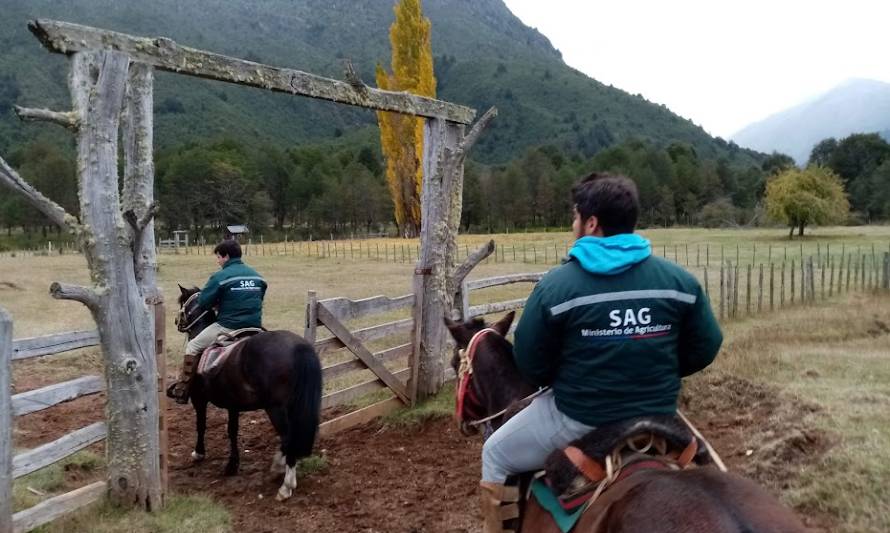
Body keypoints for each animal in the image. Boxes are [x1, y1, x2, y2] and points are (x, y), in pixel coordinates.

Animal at [172, 286, 320, 498]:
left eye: (183, 302)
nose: (177, 321)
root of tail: (298, 347)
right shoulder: (233, 405)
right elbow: (232, 431)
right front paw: (232, 465)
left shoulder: (199, 400)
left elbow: (201, 425)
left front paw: (198, 453)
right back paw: (279, 466)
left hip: (275, 408)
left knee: (288, 437)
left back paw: (286, 485)